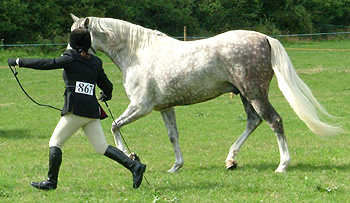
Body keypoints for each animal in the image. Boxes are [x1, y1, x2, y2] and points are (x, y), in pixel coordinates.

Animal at [69, 13, 344, 173]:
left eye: (79, 34)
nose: (68, 55)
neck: (138, 53)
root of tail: (265, 38)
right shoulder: (165, 107)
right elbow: (173, 136)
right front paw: (176, 166)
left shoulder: (141, 106)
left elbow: (115, 126)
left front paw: (130, 155)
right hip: (245, 94)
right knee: (254, 121)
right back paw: (231, 160)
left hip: (255, 93)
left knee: (274, 121)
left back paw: (282, 165)